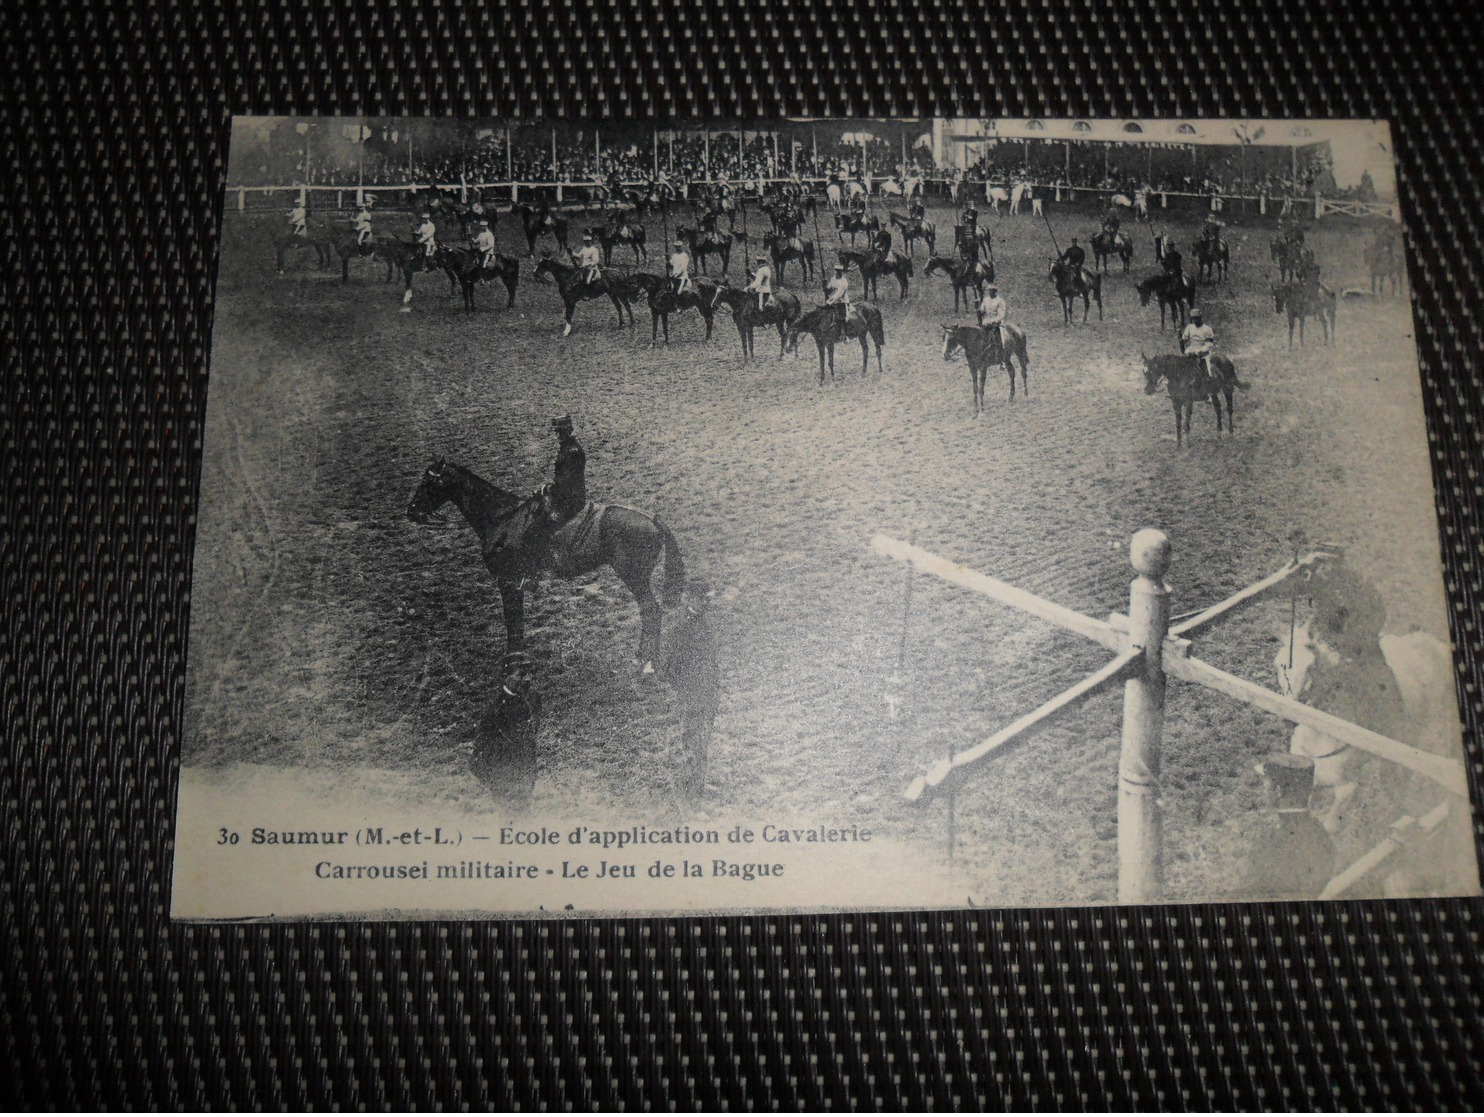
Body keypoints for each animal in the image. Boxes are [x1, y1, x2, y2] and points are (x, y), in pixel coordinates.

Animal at [406, 459, 682, 670]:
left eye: (428, 483)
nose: (411, 512)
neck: (502, 519)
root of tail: (652, 518)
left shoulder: (507, 580)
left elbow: (512, 620)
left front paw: (514, 661)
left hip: (633, 576)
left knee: (651, 610)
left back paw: (646, 661)